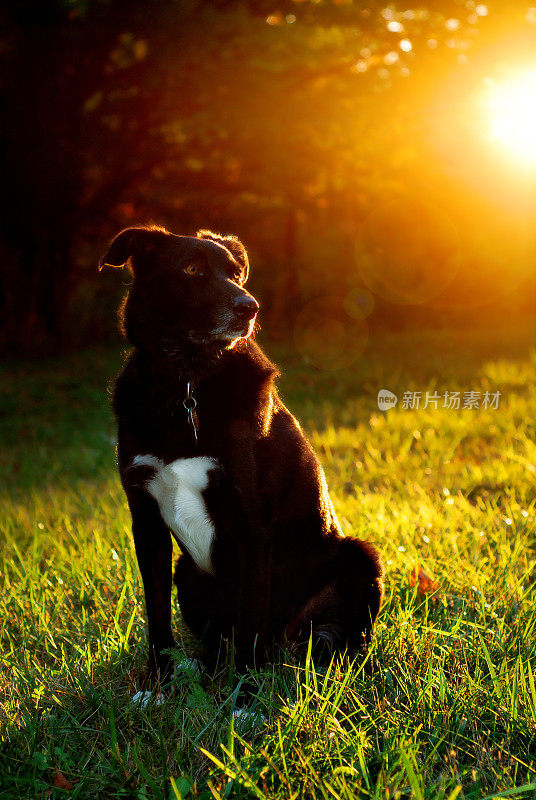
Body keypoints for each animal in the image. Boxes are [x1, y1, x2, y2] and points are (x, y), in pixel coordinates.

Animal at [100, 227, 384, 680]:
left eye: (236, 273)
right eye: (191, 269)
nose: (250, 307)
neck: (187, 382)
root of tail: (286, 637)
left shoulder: (251, 523)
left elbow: (250, 621)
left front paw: (246, 690)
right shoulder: (146, 521)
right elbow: (157, 616)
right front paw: (157, 681)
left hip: (359, 559)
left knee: (328, 637)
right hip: (187, 572)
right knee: (217, 640)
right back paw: (202, 665)